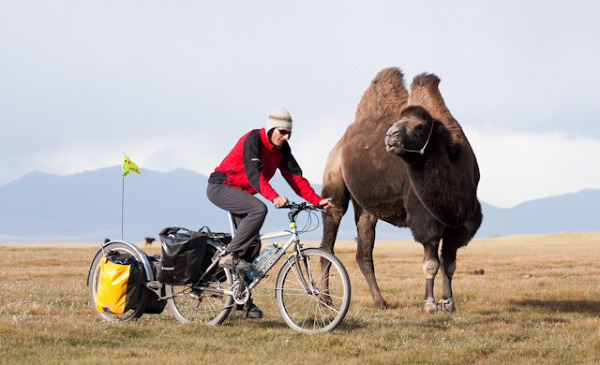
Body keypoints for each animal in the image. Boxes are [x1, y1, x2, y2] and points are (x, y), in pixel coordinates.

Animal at [318, 67, 482, 312]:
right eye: (398, 122)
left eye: (420, 127)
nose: (390, 135)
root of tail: (339, 145)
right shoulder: (424, 215)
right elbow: (431, 263)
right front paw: (429, 305)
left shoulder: (462, 221)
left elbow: (450, 263)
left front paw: (448, 303)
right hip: (333, 181)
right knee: (329, 238)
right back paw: (324, 300)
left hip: (366, 208)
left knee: (364, 252)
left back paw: (380, 302)